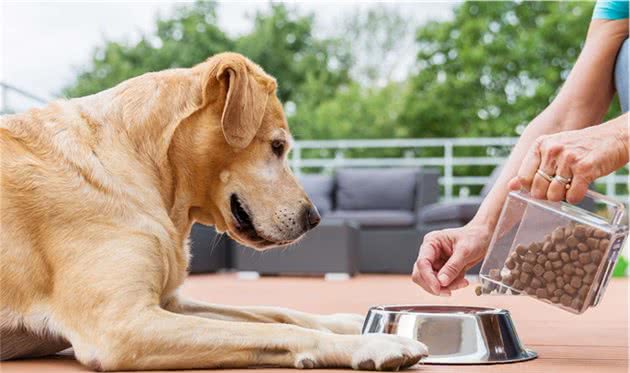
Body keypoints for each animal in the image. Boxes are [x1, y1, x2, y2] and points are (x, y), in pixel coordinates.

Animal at [1, 52, 430, 370]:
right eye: (277, 146)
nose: (314, 219)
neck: (146, 167)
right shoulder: (120, 325)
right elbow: (271, 331)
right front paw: (371, 344)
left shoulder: (169, 303)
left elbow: (275, 312)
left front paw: (350, 324)